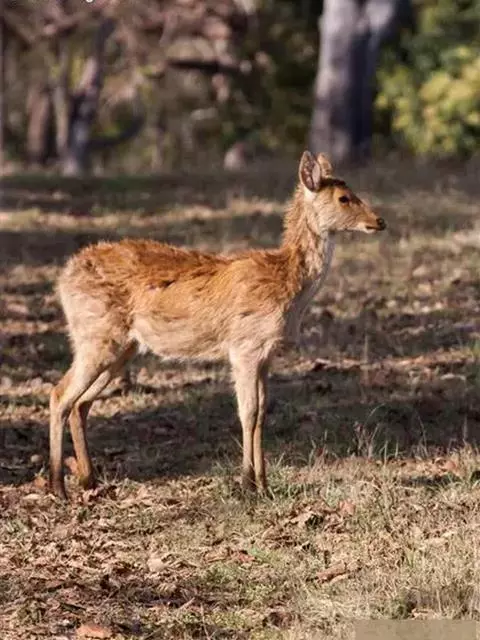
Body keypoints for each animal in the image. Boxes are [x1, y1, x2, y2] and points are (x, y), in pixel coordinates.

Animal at [49, 151, 386, 499]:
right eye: (344, 197)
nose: (379, 221)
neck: (287, 282)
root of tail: (64, 277)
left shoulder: (266, 354)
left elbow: (262, 412)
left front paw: (263, 484)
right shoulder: (244, 346)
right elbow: (247, 412)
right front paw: (247, 484)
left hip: (121, 346)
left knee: (80, 403)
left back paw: (89, 480)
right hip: (96, 335)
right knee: (59, 394)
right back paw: (58, 485)